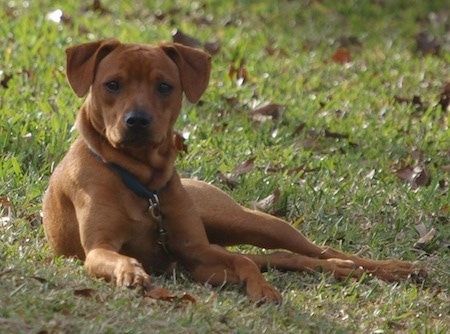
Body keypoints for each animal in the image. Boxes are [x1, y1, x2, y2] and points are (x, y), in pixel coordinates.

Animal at [43, 38, 426, 302]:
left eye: (164, 86)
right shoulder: (102, 249)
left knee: (311, 249)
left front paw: (261, 289)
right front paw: (130, 272)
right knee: (282, 256)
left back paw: (385, 268)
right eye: (112, 84)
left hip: (250, 222)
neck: (141, 181)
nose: (137, 121)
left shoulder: (196, 252)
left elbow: (246, 263)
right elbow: (115, 257)